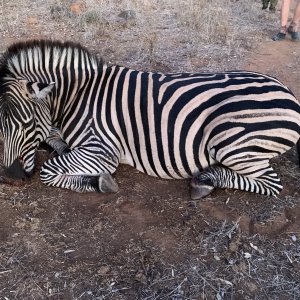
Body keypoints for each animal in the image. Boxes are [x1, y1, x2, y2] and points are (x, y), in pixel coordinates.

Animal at [0, 39, 298, 199]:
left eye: (27, 124)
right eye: (0, 126)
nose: (10, 179)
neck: (79, 95)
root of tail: (287, 92)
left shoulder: (102, 150)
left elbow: (49, 170)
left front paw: (99, 182)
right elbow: (54, 139)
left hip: (233, 144)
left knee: (270, 183)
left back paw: (205, 180)